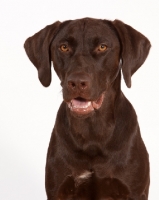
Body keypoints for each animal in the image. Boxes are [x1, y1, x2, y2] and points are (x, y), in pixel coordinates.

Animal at [24, 18, 151, 199]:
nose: (77, 82)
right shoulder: (58, 190)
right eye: (64, 47)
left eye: (102, 47)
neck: (92, 132)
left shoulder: (134, 191)